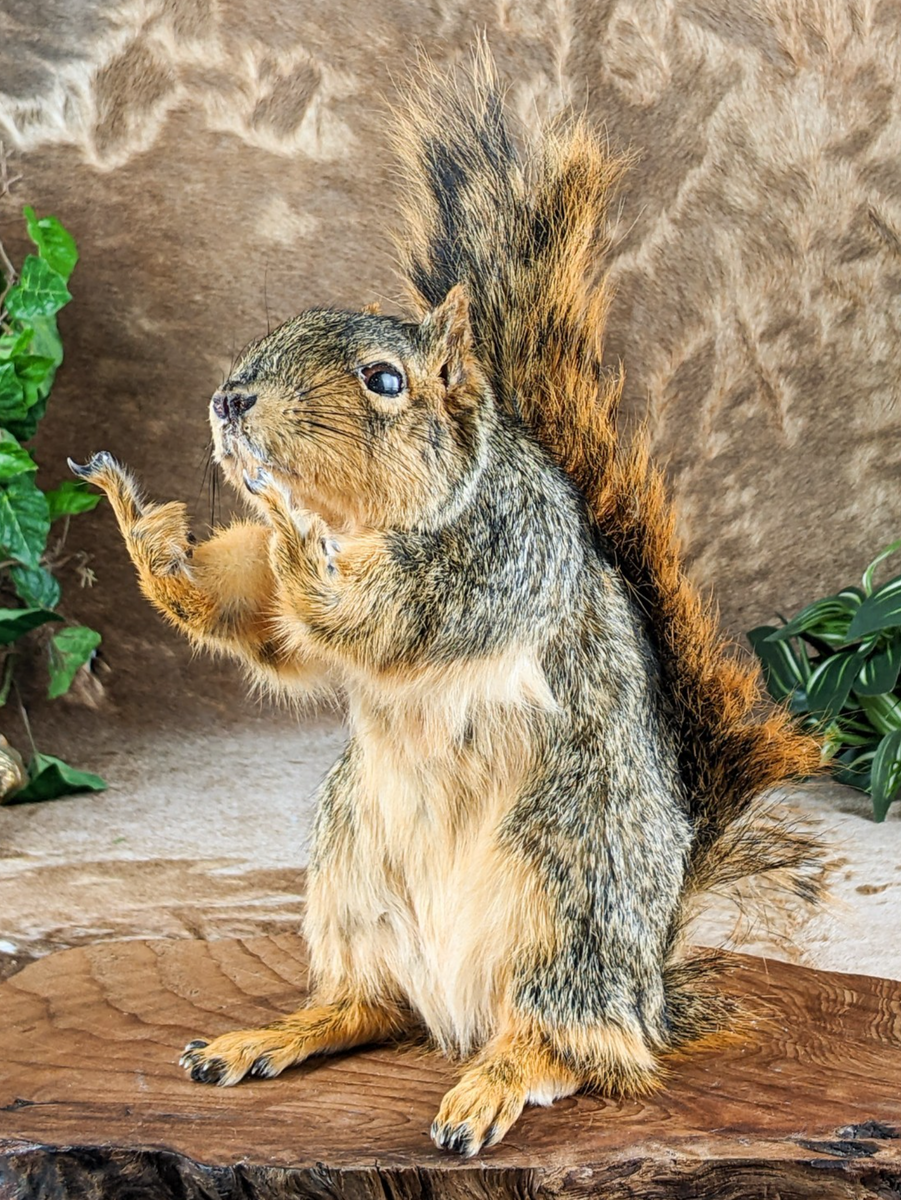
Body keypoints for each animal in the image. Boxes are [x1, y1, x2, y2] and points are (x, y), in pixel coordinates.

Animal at [70, 49, 823, 1156]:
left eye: (384, 382)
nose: (229, 402)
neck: (368, 522)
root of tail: (645, 991)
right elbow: (254, 624)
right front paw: (140, 522)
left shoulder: (497, 561)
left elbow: (393, 619)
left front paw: (292, 529)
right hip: (350, 883)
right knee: (372, 1006)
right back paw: (275, 1034)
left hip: (566, 902)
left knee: (566, 1047)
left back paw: (491, 1083)